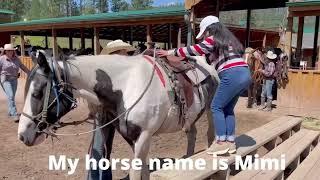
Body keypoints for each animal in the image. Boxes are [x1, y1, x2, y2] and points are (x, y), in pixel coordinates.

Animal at [18, 51, 220, 179]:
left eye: (37, 93)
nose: (22, 135)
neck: (127, 85)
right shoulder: (131, 137)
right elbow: (143, 171)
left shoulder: (144, 136)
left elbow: (136, 173)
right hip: (191, 117)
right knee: (192, 134)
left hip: (211, 111)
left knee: (210, 134)